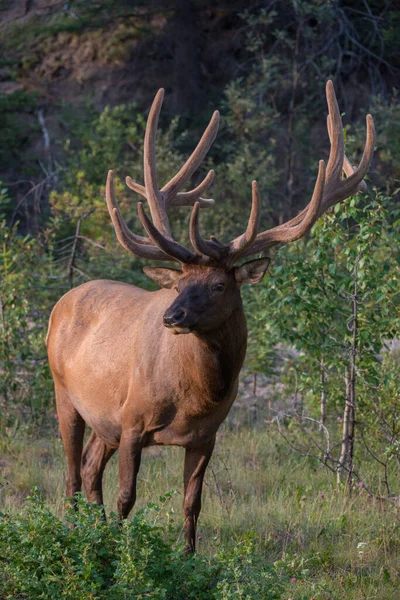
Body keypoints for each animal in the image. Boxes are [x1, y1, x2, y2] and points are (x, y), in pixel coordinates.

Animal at [47, 81, 376, 552]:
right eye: (179, 283)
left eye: (220, 285)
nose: (171, 316)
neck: (197, 395)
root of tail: (64, 300)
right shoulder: (132, 420)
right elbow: (127, 497)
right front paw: (126, 552)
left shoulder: (207, 436)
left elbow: (192, 504)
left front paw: (186, 556)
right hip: (64, 394)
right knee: (73, 476)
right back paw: (77, 534)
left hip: (103, 420)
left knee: (90, 470)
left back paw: (95, 532)